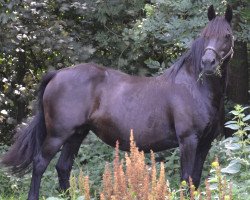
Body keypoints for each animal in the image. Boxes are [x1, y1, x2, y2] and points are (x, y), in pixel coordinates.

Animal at [1, 5, 234, 200]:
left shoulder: (204, 143)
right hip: (58, 134)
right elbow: (187, 179)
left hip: (77, 134)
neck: (194, 87)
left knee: (63, 167)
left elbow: (195, 178)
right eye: (205, 36)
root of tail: (57, 74)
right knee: (40, 163)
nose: (208, 63)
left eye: (227, 35)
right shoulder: (188, 140)